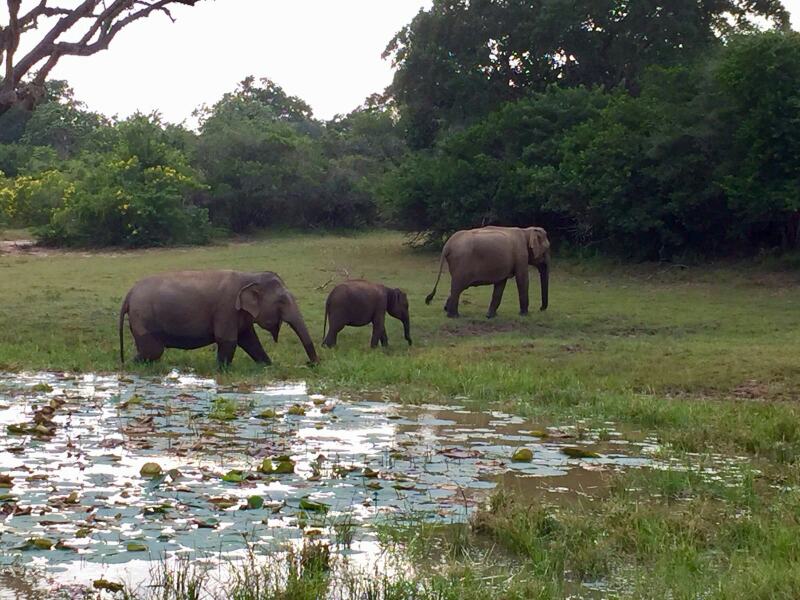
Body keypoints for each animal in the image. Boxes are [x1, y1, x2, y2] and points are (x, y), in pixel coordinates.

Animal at [118, 270, 319, 366]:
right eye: (282, 301)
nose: (310, 364)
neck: (249, 276)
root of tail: (129, 293)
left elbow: (250, 341)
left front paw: (268, 366)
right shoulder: (226, 308)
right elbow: (227, 340)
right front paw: (223, 370)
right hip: (143, 317)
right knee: (153, 351)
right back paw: (130, 367)